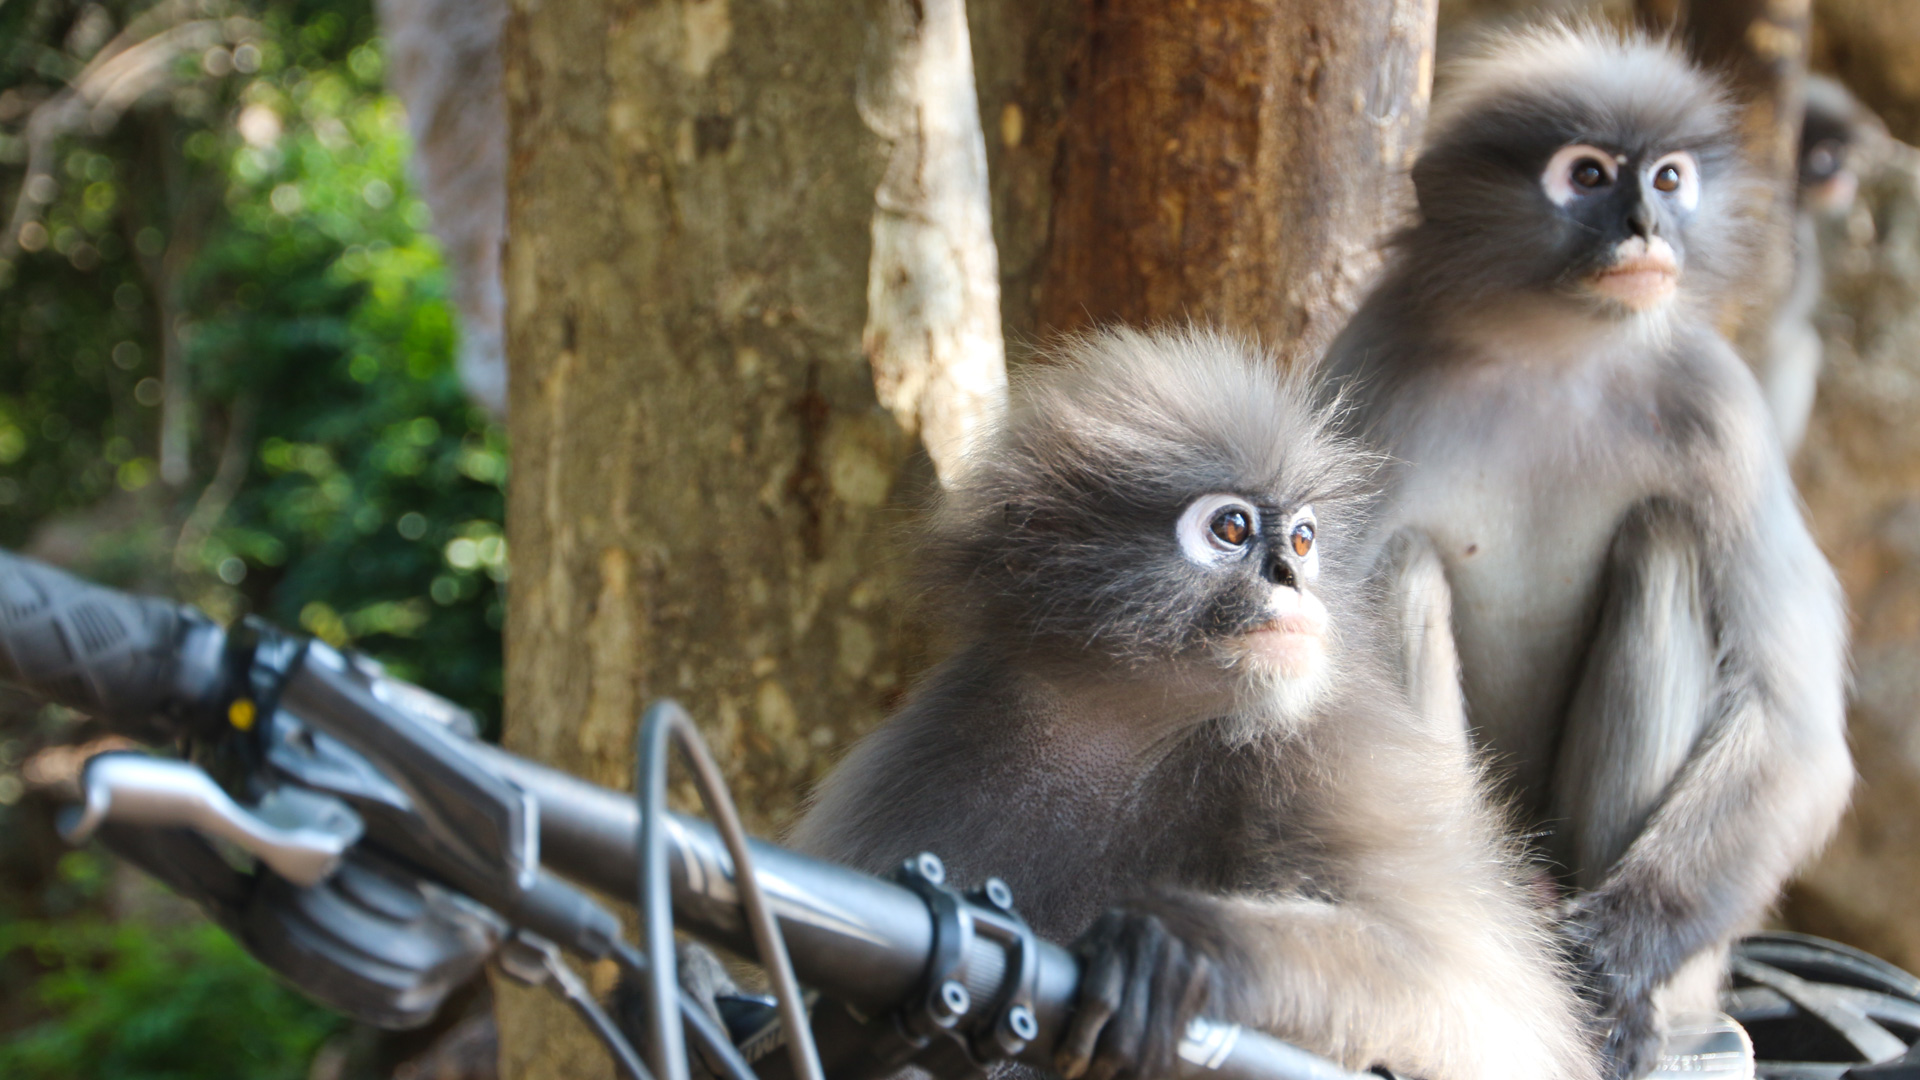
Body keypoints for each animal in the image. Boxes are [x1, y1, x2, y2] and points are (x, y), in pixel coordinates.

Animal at [787, 322, 1597, 1076]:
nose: (1290, 577)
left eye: (1303, 540)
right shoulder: (913, 767)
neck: (1114, 728)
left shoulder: (1331, 752)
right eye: (1232, 527)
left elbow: (1485, 1012)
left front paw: (1184, 945)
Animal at [1328, 23, 1850, 1076]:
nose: (1649, 223)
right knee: (1398, 573)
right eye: (1590, 175)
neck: (1551, 353)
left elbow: (1796, 726)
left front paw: (1611, 956)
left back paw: (1629, 1014)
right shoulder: (1371, 377)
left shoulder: (1720, 407)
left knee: (1667, 542)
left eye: (1670, 176)